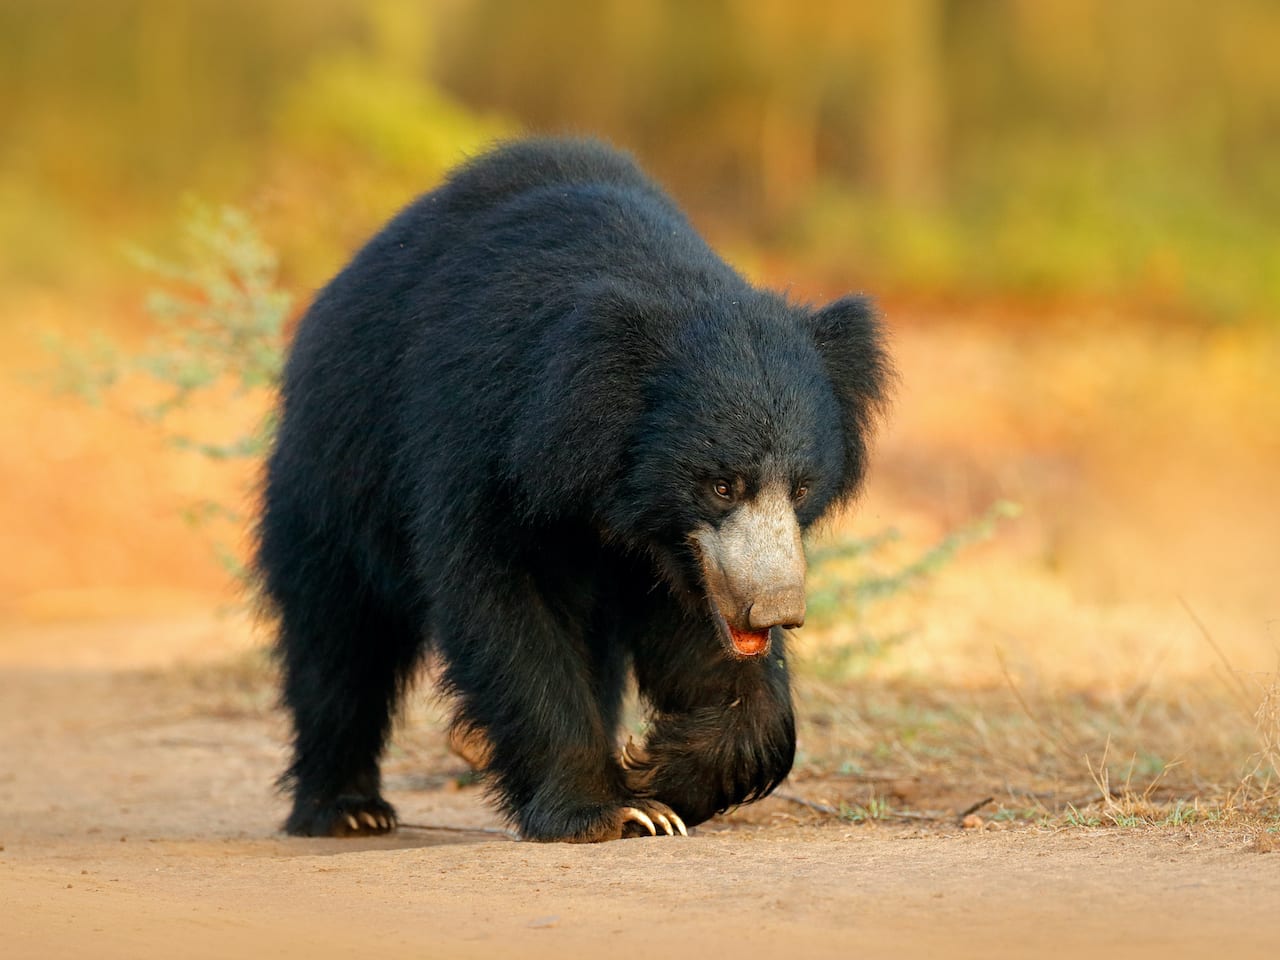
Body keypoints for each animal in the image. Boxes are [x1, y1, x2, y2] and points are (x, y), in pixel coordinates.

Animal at [256, 137, 891, 842]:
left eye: (801, 488)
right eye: (722, 485)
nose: (774, 610)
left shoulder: (682, 553)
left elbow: (702, 636)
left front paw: (658, 771)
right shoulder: (483, 442)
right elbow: (506, 606)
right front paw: (610, 809)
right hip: (332, 483)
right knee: (339, 643)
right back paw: (347, 809)